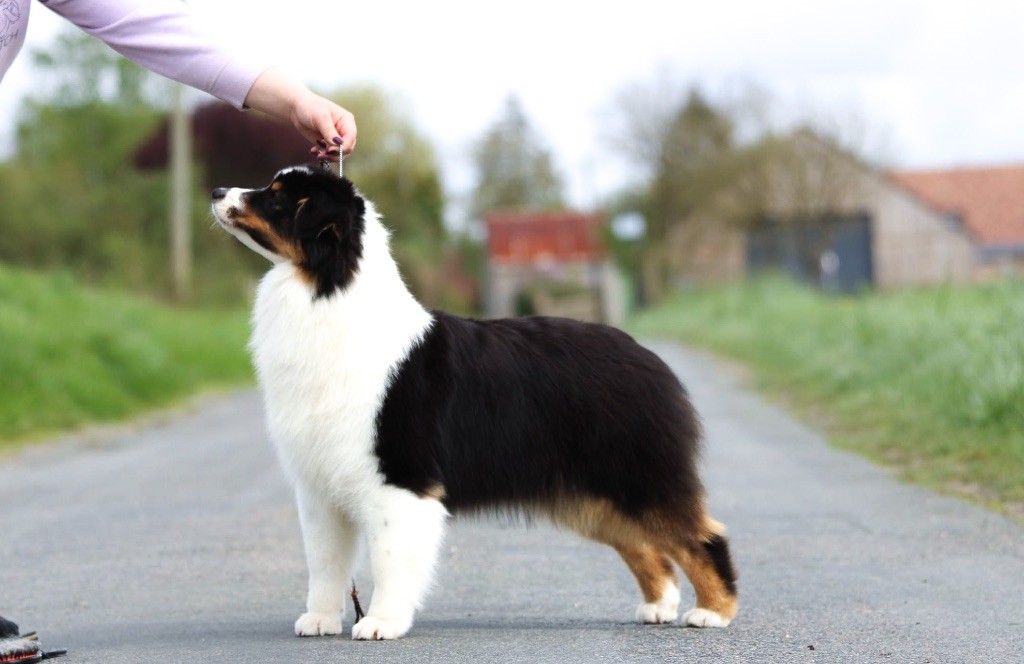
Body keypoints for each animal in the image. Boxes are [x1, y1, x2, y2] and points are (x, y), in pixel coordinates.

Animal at [209, 164, 737, 639]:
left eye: (278, 197)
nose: (215, 191)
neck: (326, 290)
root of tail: (647, 356)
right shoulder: (318, 486)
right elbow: (324, 562)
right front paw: (319, 620)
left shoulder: (398, 480)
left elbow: (388, 560)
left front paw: (381, 623)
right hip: (593, 496)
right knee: (647, 548)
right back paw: (659, 606)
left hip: (640, 475)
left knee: (702, 537)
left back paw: (713, 612)